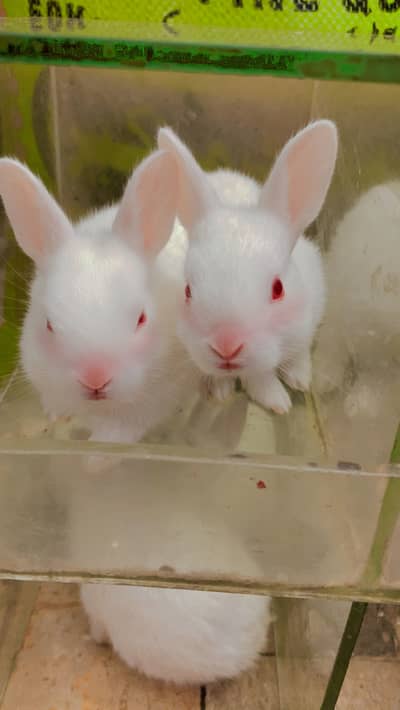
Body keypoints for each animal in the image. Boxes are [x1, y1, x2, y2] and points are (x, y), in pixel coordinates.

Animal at [0, 149, 201, 445]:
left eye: (141, 319)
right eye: (49, 325)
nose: (95, 379)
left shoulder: (152, 404)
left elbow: (116, 434)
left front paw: (95, 450)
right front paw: (57, 416)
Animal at [158, 121, 338, 414]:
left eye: (278, 289)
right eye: (187, 291)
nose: (226, 346)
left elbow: (299, 354)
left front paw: (301, 381)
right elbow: (259, 378)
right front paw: (278, 402)